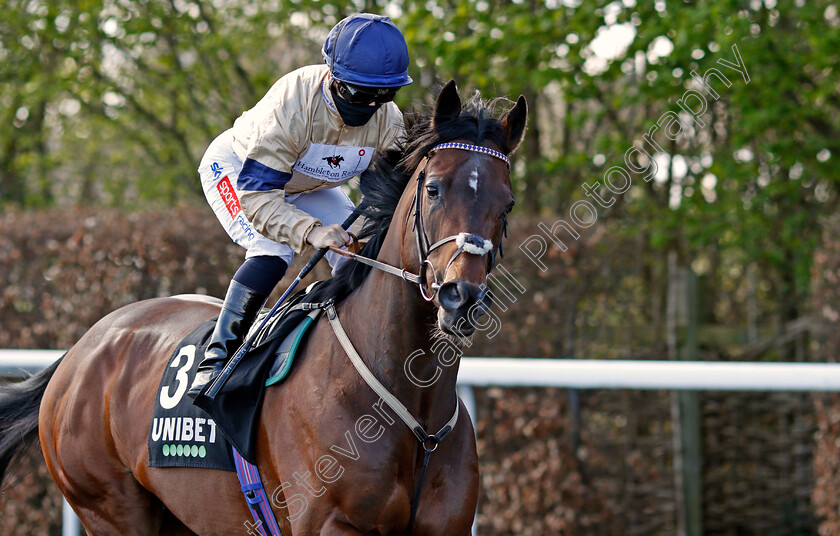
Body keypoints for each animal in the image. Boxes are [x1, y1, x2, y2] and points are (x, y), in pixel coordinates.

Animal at [0, 80, 524, 536]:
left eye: (508, 204)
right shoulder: (331, 524)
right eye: (433, 189)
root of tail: (82, 348)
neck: (412, 405)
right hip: (110, 508)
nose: (461, 297)